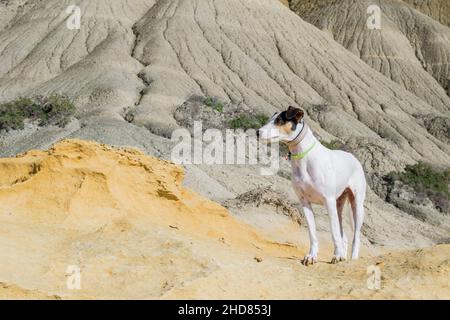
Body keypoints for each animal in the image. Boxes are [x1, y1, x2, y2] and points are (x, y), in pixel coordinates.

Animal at [256, 106, 366, 264]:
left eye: (279, 120)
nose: (257, 132)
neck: (304, 156)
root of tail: (353, 157)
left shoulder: (328, 201)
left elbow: (333, 232)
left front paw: (336, 255)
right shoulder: (305, 202)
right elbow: (312, 233)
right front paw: (312, 256)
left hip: (356, 205)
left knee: (355, 236)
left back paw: (352, 258)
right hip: (338, 205)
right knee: (343, 235)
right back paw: (343, 256)